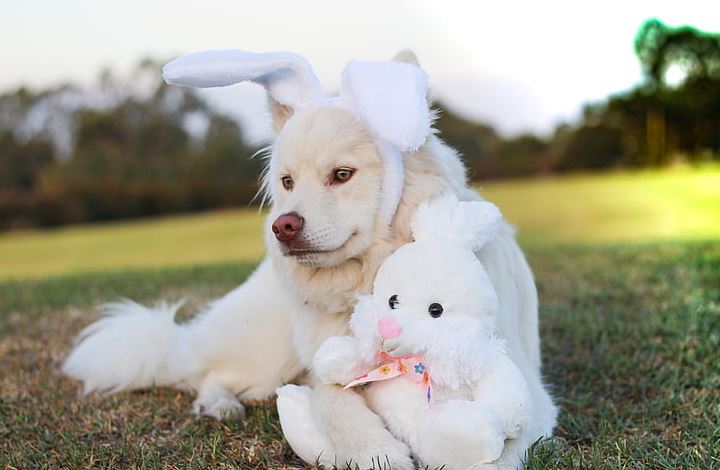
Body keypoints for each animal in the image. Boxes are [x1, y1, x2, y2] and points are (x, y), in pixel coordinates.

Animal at [63, 49, 556, 468]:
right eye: (287, 182)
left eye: (342, 175)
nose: (283, 227)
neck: (362, 282)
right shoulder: (328, 370)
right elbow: (331, 399)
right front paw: (378, 452)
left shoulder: (527, 396)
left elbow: (504, 448)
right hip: (267, 353)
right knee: (206, 373)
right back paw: (218, 404)